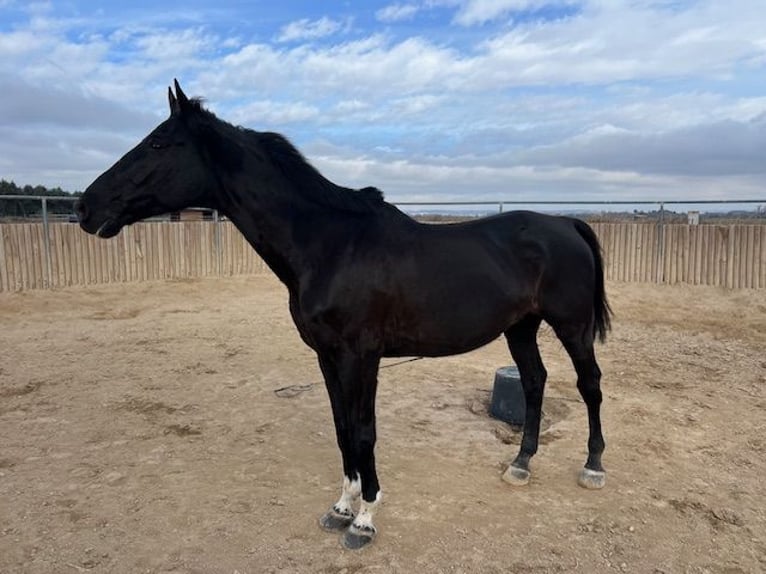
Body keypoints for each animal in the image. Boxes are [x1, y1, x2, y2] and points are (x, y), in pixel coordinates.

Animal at [75, 82, 616, 552]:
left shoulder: (362, 356)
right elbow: (340, 429)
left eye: (158, 143)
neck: (331, 245)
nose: (85, 206)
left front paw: (365, 519)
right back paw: (521, 464)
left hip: (571, 326)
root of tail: (567, 223)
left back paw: (593, 467)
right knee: (535, 382)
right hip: (520, 327)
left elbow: (363, 430)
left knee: (589, 383)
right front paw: (340, 507)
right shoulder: (327, 356)